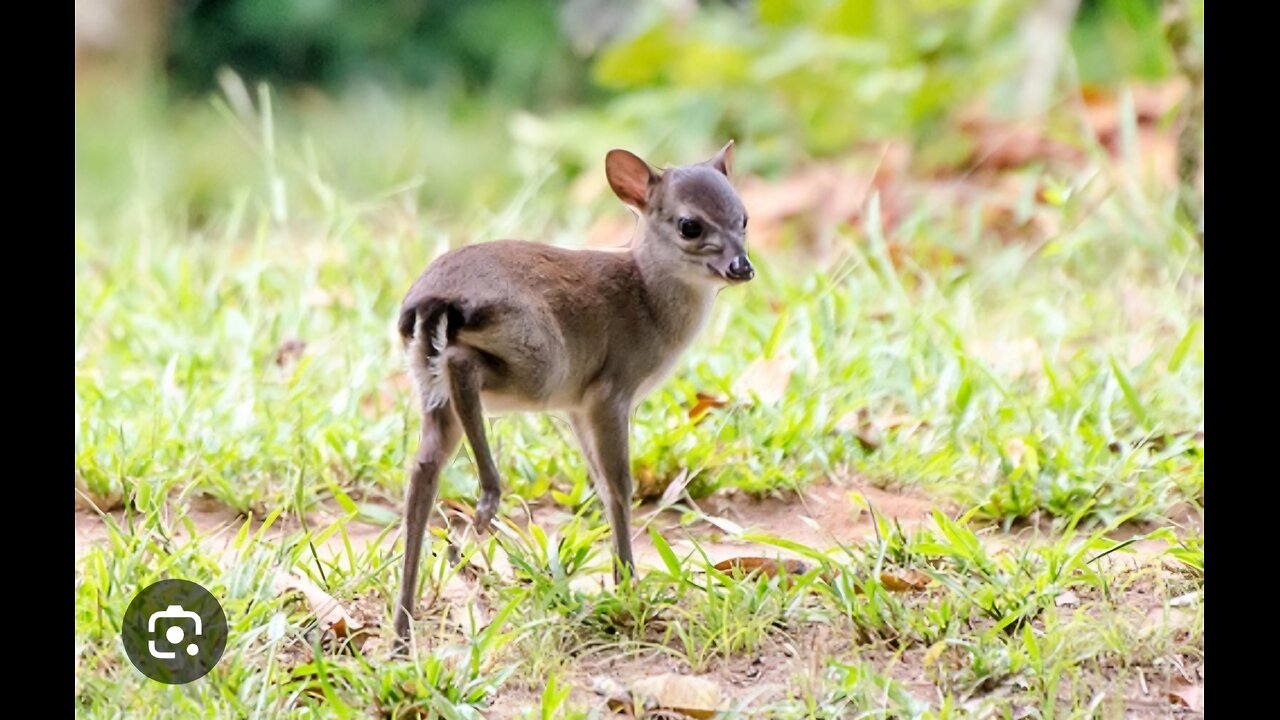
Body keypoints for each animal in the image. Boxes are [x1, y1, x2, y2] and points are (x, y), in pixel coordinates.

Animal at [389, 140, 747, 645]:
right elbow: (619, 484)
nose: (742, 267)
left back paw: (403, 627)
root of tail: (429, 301)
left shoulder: (578, 405)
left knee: (421, 471)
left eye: (744, 218)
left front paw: (621, 581)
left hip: (433, 387)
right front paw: (627, 586)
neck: (647, 299)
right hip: (538, 361)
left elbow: (599, 482)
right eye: (690, 225)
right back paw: (486, 501)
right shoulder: (610, 390)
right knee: (463, 366)